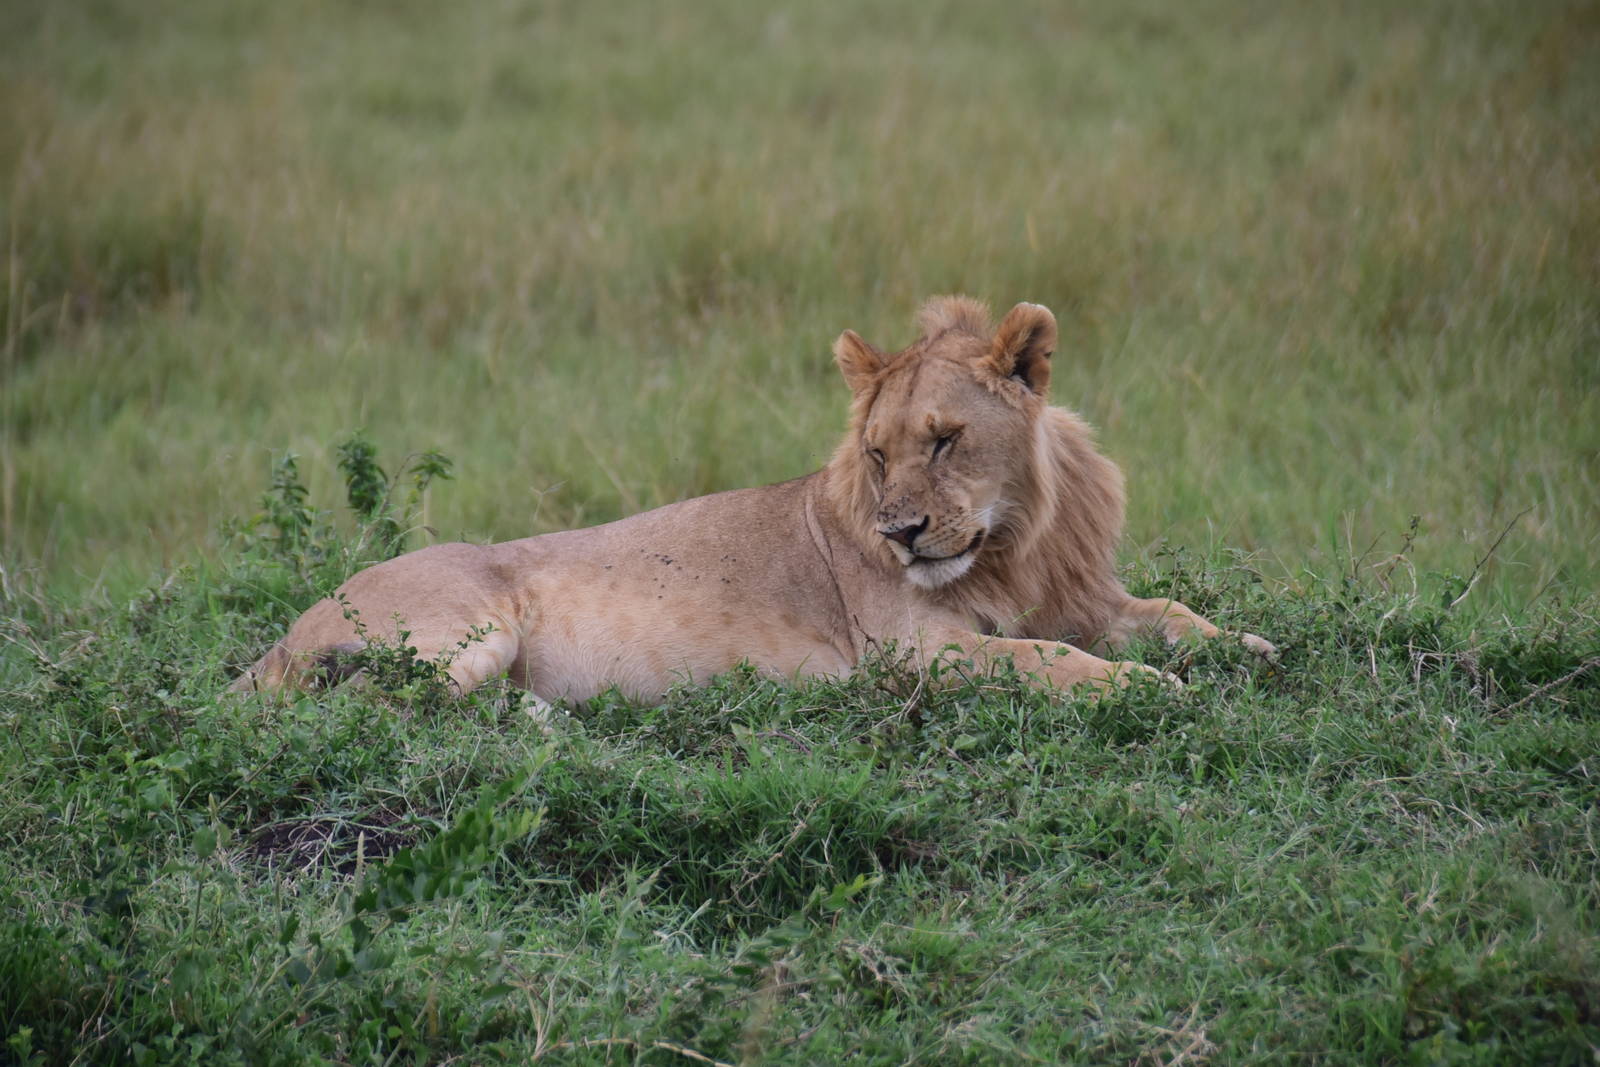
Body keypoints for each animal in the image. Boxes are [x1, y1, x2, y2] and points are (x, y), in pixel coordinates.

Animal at [233, 297, 1274, 702]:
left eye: (944, 439)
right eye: (877, 453)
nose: (902, 533)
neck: (1013, 540)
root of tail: (282, 635)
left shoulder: (1083, 595)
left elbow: (1172, 613)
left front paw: (1249, 647)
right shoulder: (916, 651)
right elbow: (1047, 659)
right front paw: (1149, 687)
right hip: (463, 631)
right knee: (390, 707)